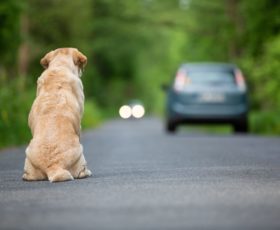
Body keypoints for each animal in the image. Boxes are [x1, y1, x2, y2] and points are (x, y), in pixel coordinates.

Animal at [22, 47, 92, 182]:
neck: (60, 66)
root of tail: (53, 166)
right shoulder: (79, 125)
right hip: (80, 152)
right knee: (81, 172)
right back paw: (87, 172)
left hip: (28, 154)